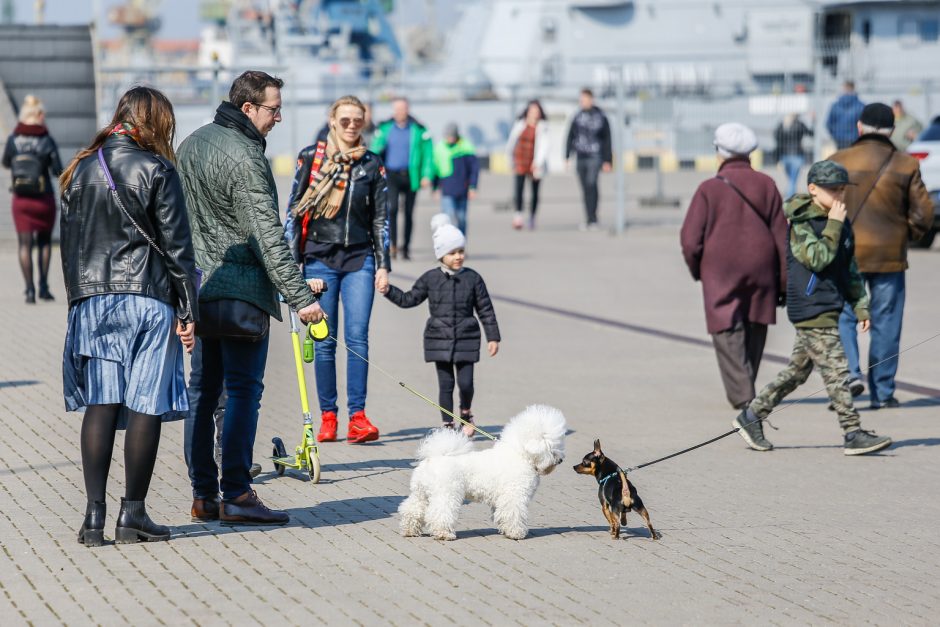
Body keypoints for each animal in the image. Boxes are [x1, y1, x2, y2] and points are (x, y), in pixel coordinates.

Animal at [396, 404, 564, 544]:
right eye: (552, 446)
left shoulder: (502, 499)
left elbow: (501, 514)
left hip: (421, 493)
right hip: (446, 494)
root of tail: (433, 458)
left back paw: (410, 531)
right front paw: (516, 533)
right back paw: (444, 534)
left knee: (411, 510)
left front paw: (506, 531)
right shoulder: (514, 496)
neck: (521, 455)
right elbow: (513, 514)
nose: (561, 460)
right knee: (440, 513)